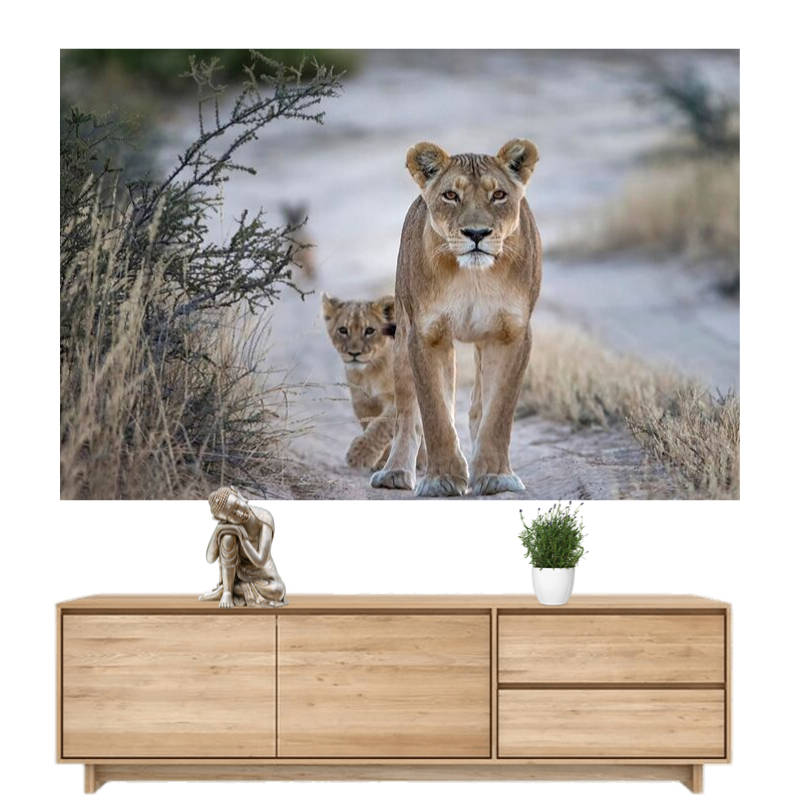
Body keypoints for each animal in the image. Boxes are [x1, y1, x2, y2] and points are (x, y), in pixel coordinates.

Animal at [322, 294, 398, 469]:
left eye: (369, 330)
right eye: (343, 330)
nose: (354, 353)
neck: (369, 372)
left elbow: (382, 425)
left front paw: (360, 455)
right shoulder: (363, 402)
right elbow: (371, 424)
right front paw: (381, 460)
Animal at [370, 138, 542, 496]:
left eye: (498, 195)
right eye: (451, 195)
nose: (476, 233)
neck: (473, 276)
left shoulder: (512, 334)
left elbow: (499, 411)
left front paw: (494, 475)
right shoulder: (426, 334)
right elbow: (435, 412)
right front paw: (442, 479)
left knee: (478, 406)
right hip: (402, 338)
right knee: (407, 414)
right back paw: (395, 472)